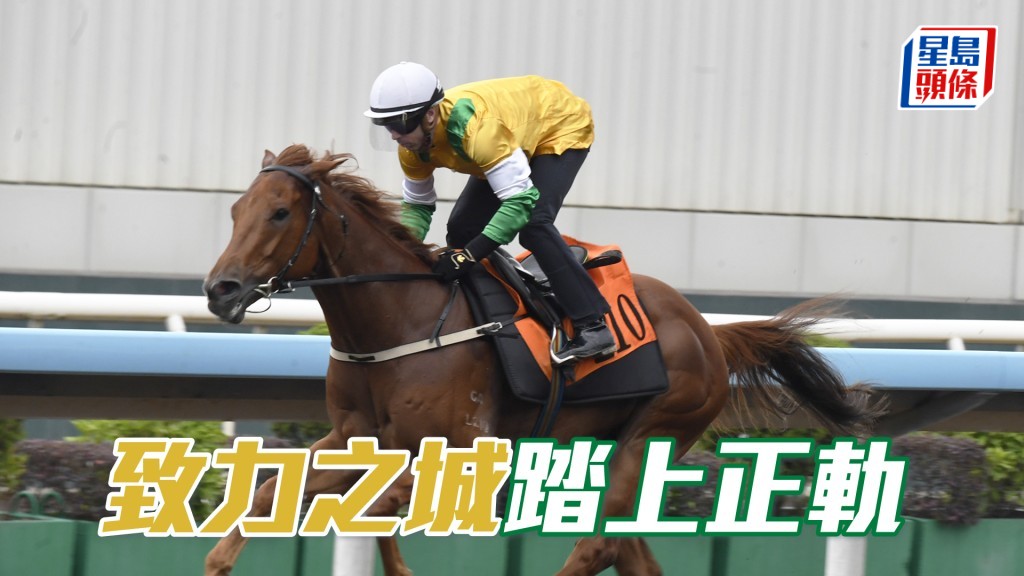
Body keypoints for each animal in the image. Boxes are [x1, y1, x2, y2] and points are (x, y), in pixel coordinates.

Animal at [203, 144, 886, 576]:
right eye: (234, 211)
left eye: (280, 212)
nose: (221, 290)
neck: (400, 318)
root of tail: (707, 332)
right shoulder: (355, 437)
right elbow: (269, 496)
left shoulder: (462, 451)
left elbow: (366, 515)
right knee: (629, 553)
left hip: (656, 431)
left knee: (598, 547)